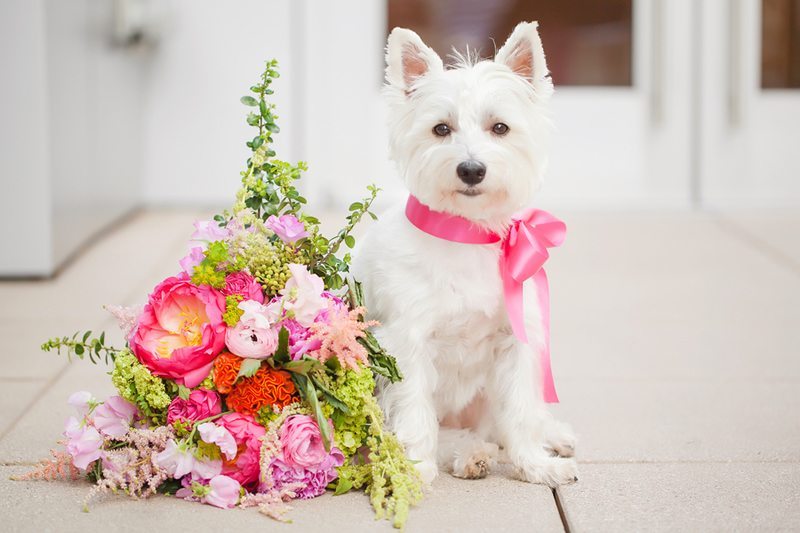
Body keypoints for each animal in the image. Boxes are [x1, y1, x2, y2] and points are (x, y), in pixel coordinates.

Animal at [354, 21, 580, 486]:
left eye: (500, 128)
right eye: (441, 129)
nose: (472, 169)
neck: (466, 235)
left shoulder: (515, 344)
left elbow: (520, 413)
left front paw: (537, 466)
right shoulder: (407, 345)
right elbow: (415, 413)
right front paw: (415, 470)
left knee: (507, 423)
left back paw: (551, 437)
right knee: (456, 436)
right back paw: (469, 455)